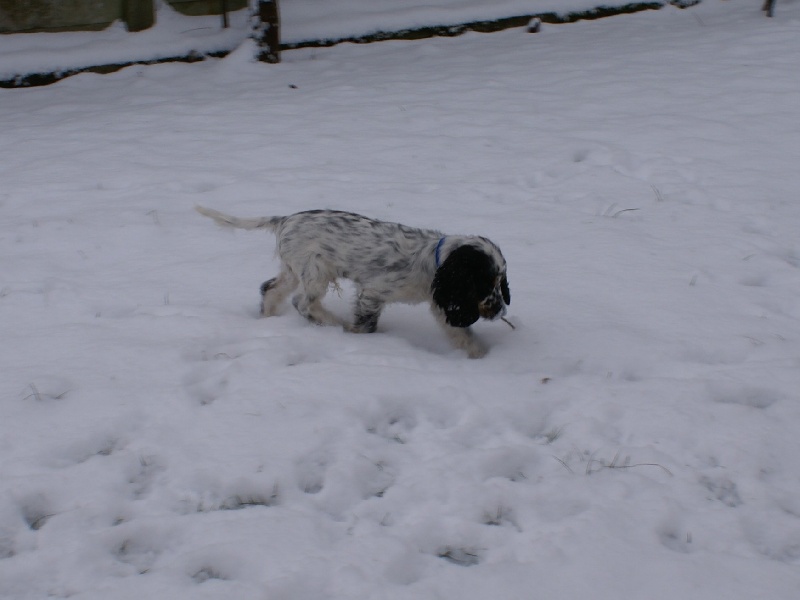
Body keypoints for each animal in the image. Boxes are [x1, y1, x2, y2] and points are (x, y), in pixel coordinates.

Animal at [198, 206, 512, 356]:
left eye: (500, 283)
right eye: (483, 283)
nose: (500, 311)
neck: (433, 258)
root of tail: (285, 220)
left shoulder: (443, 302)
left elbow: (461, 334)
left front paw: (479, 356)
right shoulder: (373, 293)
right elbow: (366, 325)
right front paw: (360, 336)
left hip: (293, 269)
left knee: (271, 289)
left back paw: (268, 319)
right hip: (315, 269)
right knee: (303, 302)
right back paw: (334, 324)